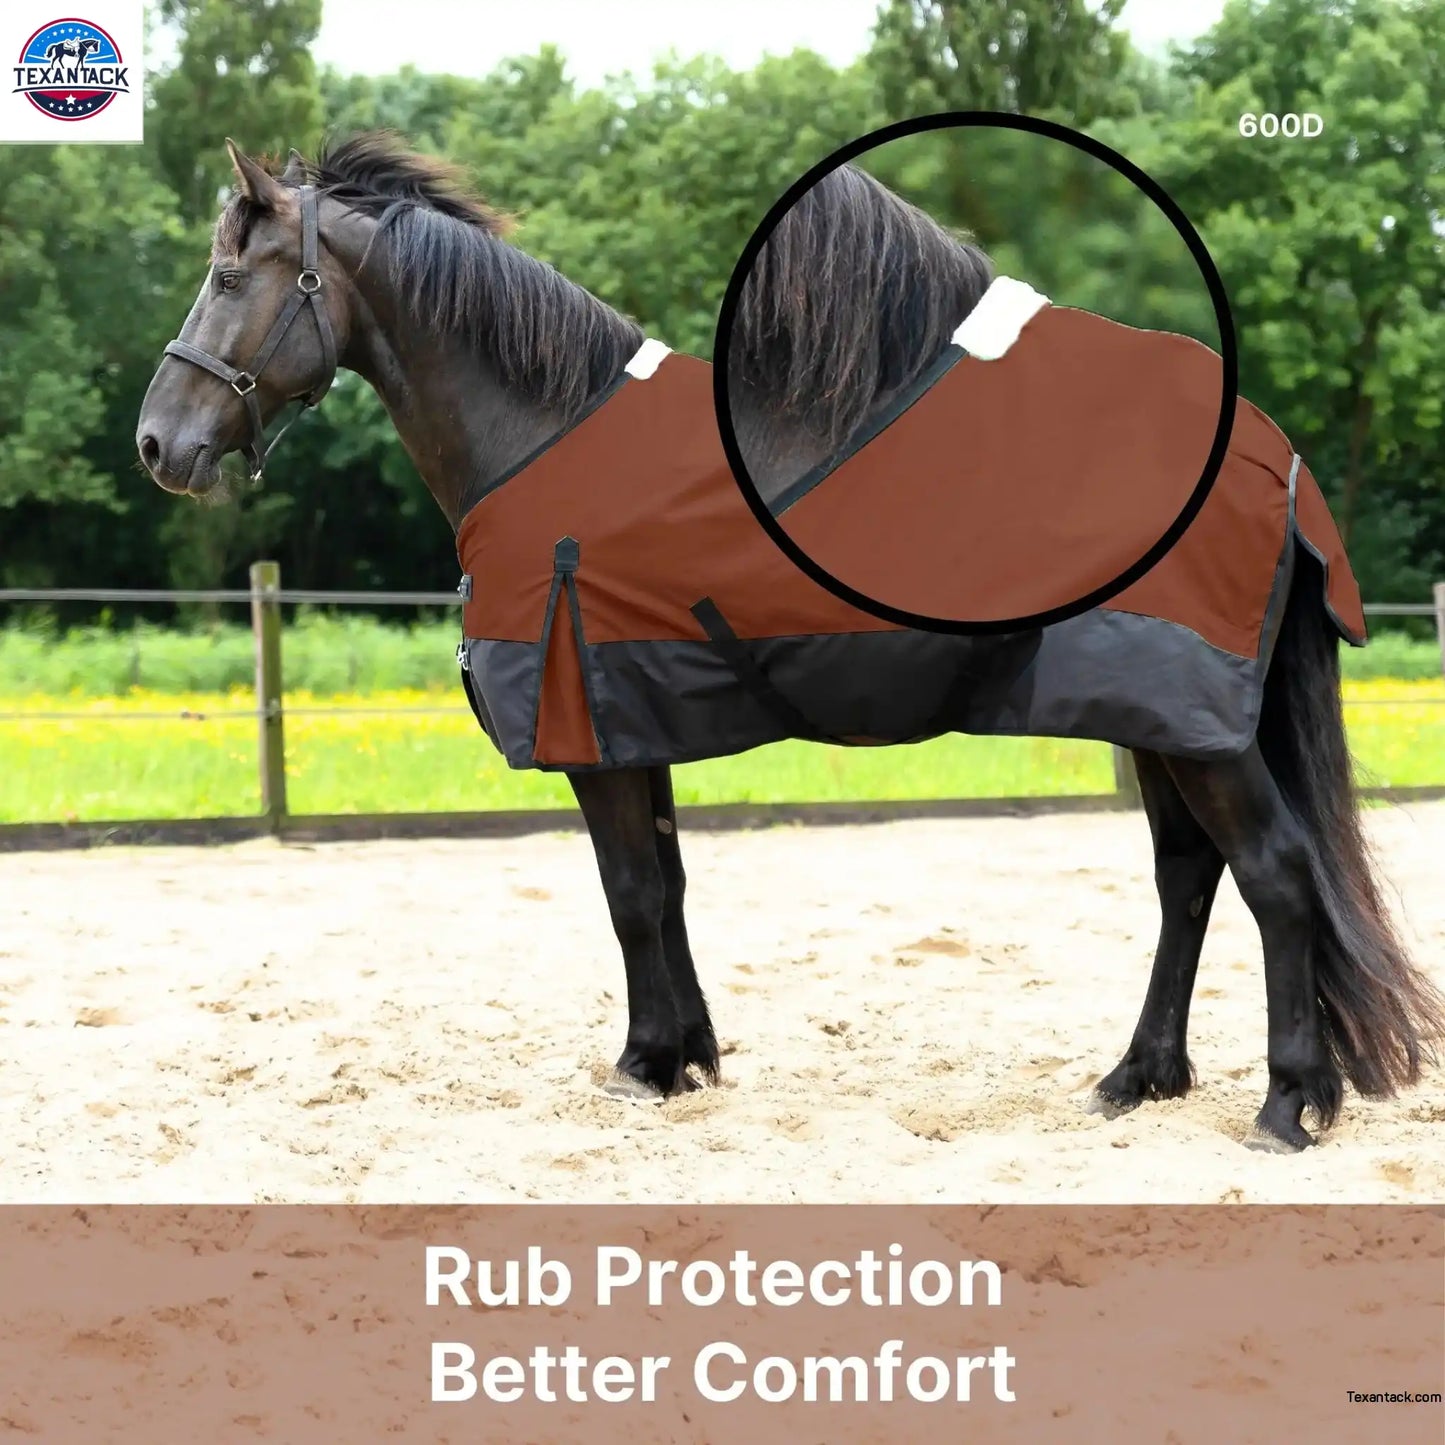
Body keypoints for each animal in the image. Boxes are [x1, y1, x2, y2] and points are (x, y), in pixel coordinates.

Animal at [136, 132, 1444, 1153]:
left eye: (227, 273)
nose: (158, 443)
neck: (542, 432)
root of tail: (1267, 455)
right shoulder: (633, 719)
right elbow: (663, 886)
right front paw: (688, 1055)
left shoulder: (591, 733)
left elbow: (626, 893)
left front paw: (643, 1063)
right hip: (1160, 718)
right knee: (1188, 877)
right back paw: (1135, 1079)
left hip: (1192, 723)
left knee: (1272, 873)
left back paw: (1286, 1104)